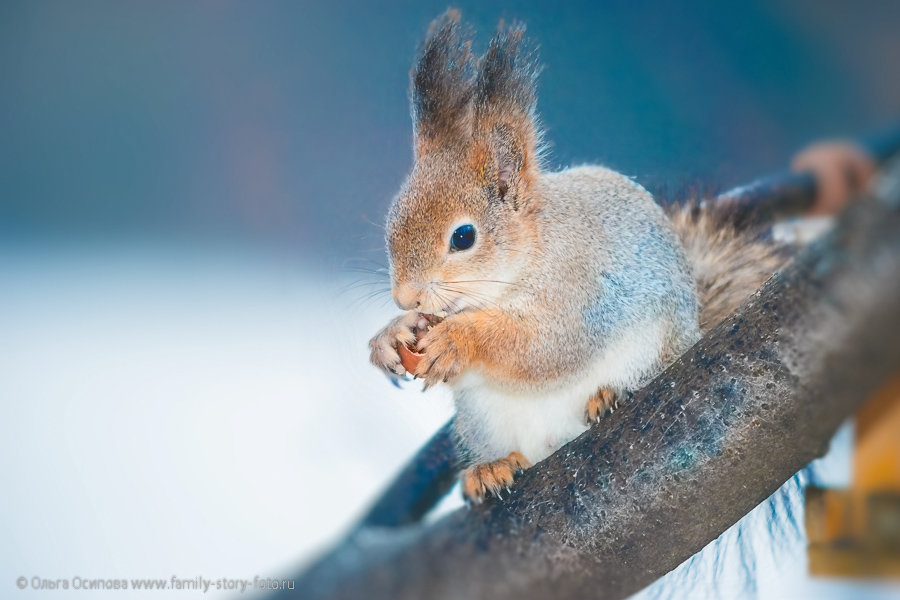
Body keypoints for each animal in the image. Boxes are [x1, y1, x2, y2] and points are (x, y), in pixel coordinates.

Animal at [366, 11, 872, 504]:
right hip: (483, 420)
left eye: (464, 237)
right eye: (391, 221)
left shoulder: (580, 290)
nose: (406, 298)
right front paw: (392, 335)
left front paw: (458, 341)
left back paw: (608, 396)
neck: (523, 261)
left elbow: (544, 346)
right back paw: (490, 468)